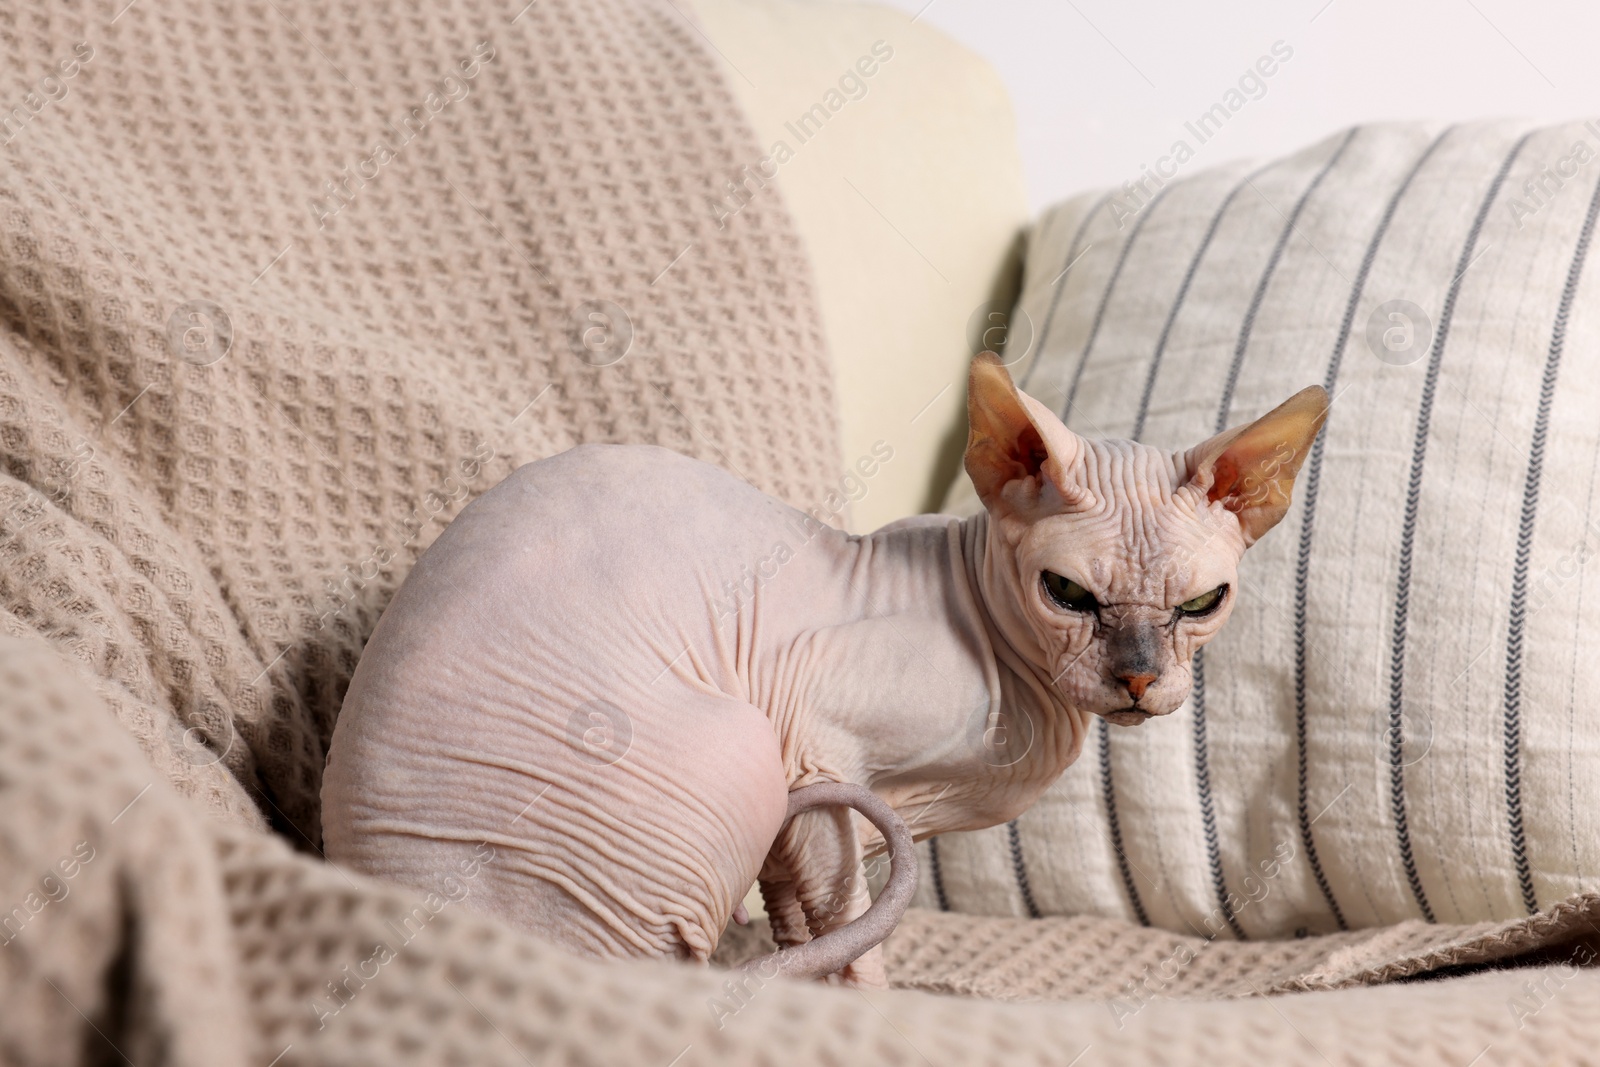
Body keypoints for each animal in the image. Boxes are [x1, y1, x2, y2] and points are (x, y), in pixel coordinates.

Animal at [321, 355, 1324, 991]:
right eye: (1069, 593)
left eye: (1202, 603)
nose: (1139, 678)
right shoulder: (811, 741)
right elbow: (845, 917)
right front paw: (871, 1009)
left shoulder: (795, 817)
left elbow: (804, 915)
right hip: (735, 751)